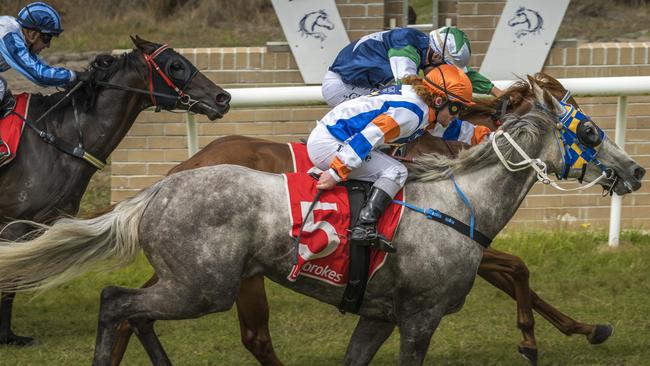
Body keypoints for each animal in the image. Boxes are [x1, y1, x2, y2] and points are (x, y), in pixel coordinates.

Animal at [0, 35, 230, 344]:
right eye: (175, 66)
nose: (222, 98)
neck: (57, 139)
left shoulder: (39, 224)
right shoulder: (13, 224)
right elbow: (9, 280)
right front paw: (6, 337)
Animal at [0, 80, 640, 364]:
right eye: (588, 132)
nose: (635, 170)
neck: (460, 202)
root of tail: (161, 186)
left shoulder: (379, 315)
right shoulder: (420, 317)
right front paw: (538, 340)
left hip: (192, 283)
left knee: (134, 311)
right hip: (203, 287)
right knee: (117, 302)